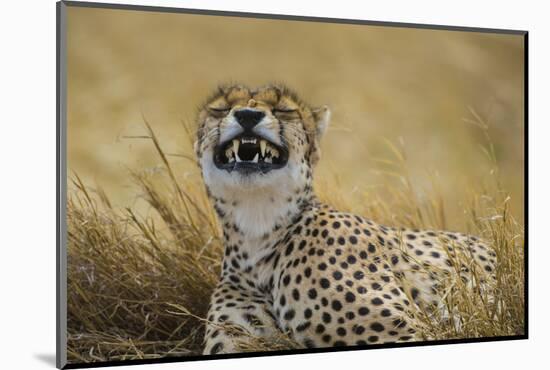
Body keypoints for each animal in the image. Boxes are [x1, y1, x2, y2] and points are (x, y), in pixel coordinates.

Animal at [196, 84, 498, 356]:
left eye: (283, 110)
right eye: (221, 108)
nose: (247, 115)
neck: (258, 229)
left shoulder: (408, 331)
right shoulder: (240, 340)